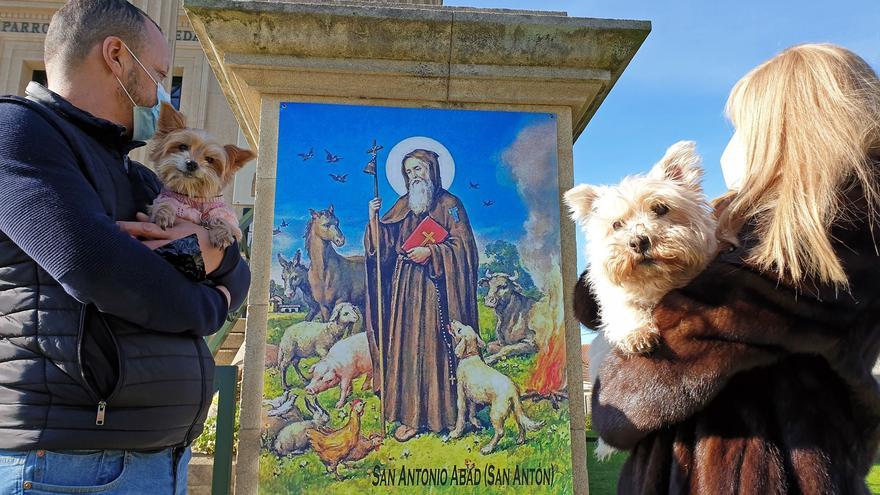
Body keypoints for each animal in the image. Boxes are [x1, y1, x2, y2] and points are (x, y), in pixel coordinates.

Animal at [147, 102, 254, 248]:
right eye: (182, 147)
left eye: (209, 159)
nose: (192, 164)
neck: (194, 196)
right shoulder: (169, 200)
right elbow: (164, 203)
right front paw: (163, 214)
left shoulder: (224, 213)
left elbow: (223, 220)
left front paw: (222, 235)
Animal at [446, 320, 544, 456]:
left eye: (460, 330)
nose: (452, 321)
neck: (470, 357)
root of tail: (513, 390)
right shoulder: (472, 395)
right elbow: (472, 411)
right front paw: (477, 424)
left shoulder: (461, 391)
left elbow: (462, 411)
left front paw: (456, 433)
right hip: (515, 407)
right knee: (520, 421)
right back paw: (520, 440)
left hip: (496, 413)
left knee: (500, 432)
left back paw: (488, 448)